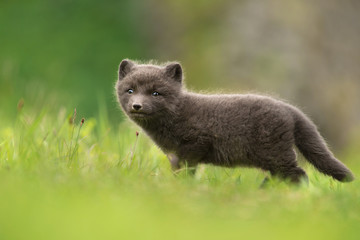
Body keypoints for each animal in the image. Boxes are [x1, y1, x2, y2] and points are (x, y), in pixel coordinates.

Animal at [116, 59, 354, 183]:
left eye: (156, 93)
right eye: (130, 90)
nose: (137, 106)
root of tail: (290, 109)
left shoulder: (195, 143)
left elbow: (187, 170)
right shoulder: (174, 155)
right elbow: (177, 170)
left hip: (276, 154)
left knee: (298, 174)